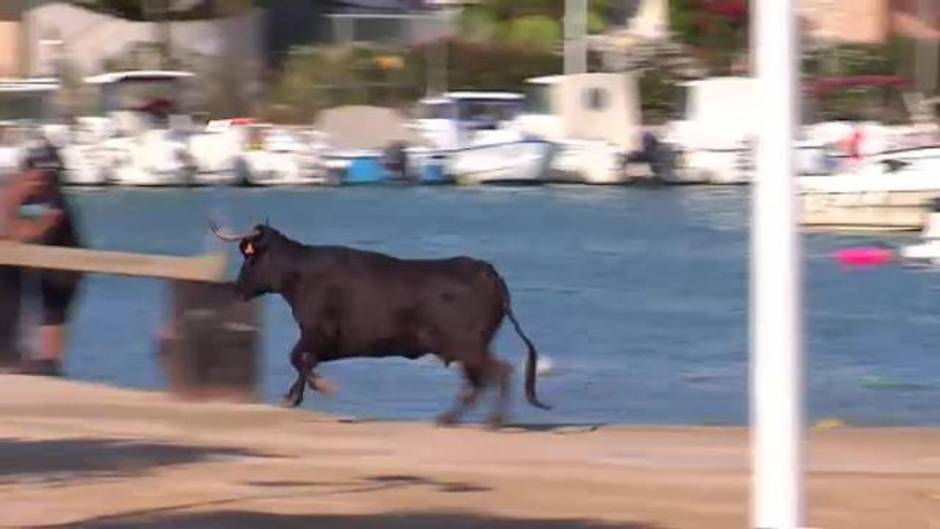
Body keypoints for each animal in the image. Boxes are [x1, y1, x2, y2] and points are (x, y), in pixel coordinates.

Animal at [213, 223, 552, 424]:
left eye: (249, 258)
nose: (237, 289)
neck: (301, 275)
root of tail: (488, 272)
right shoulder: (326, 342)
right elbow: (305, 362)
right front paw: (293, 397)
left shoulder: (317, 332)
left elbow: (297, 358)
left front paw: (319, 388)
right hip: (468, 347)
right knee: (478, 380)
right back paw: (448, 419)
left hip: (468, 345)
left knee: (498, 372)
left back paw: (493, 422)